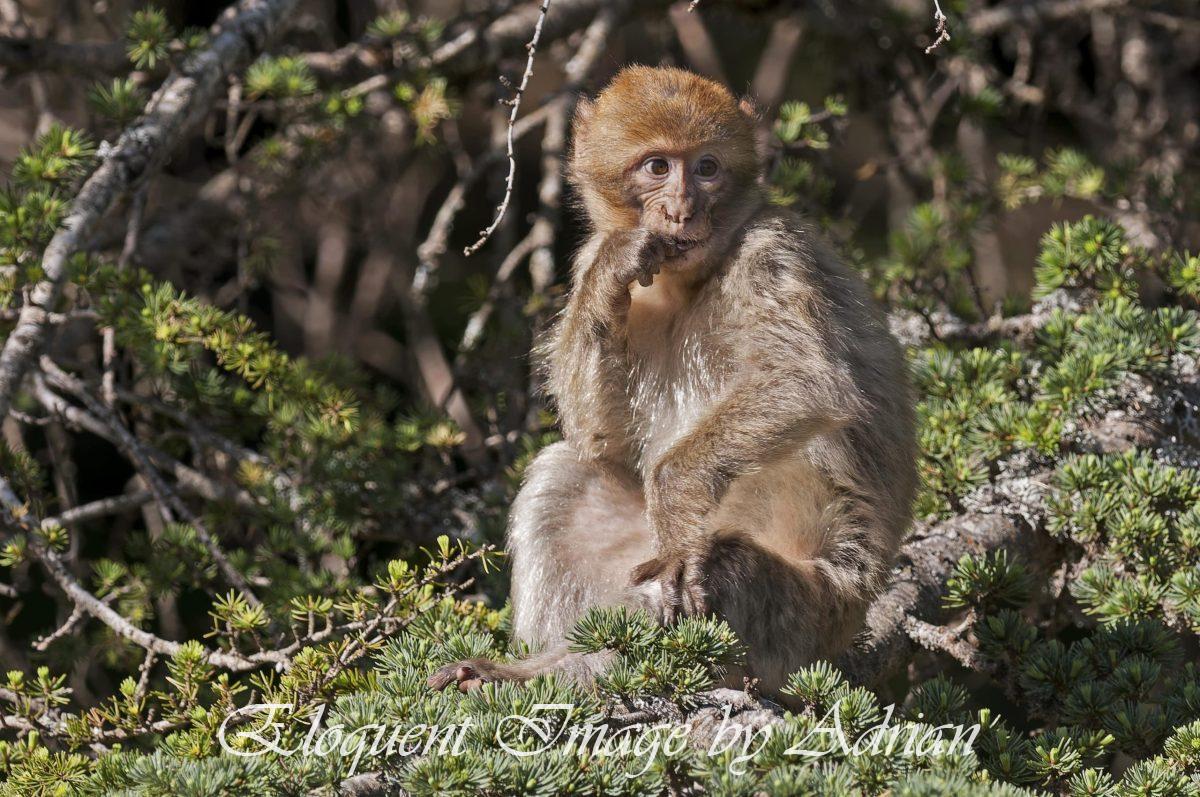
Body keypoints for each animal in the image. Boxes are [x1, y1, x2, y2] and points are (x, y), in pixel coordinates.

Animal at [429, 66, 916, 697]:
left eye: (706, 167)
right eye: (658, 166)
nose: (683, 209)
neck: (689, 280)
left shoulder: (771, 252)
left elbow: (805, 384)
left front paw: (677, 494)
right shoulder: (589, 255)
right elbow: (599, 440)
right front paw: (616, 272)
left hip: (799, 627)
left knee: (719, 569)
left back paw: (566, 675)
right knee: (564, 476)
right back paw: (528, 671)